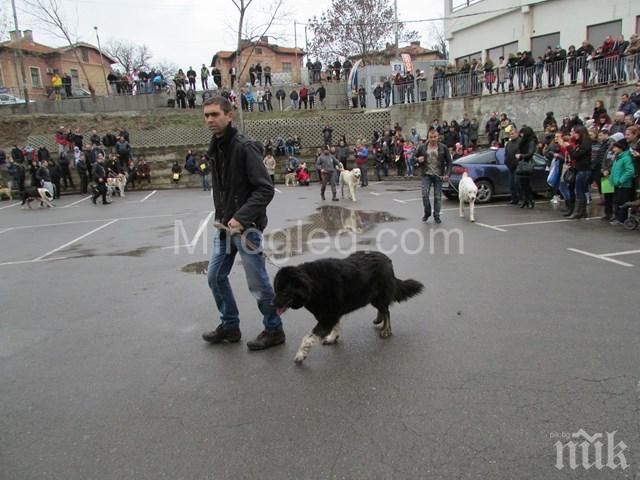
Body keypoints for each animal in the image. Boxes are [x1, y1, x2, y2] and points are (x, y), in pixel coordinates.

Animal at [272, 251, 422, 364]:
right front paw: (333, 337)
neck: (313, 285)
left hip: (378, 296)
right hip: (373, 297)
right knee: (383, 309)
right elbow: (336, 326)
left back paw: (386, 330)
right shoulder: (332, 315)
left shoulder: (327, 318)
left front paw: (300, 355)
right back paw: (378, 320)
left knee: (387, 311)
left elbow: (307, 338)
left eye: (284, 292)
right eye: (276, 289)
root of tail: (388, 260)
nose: (271, 304)